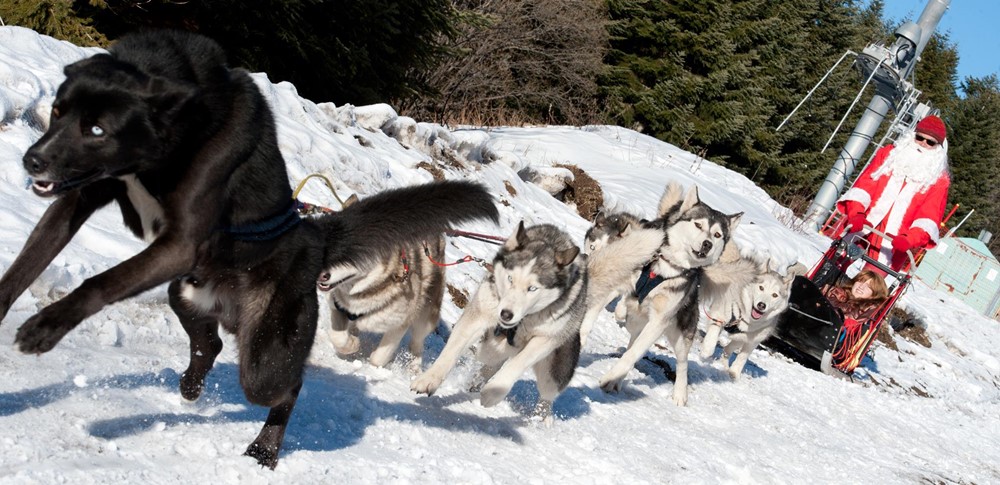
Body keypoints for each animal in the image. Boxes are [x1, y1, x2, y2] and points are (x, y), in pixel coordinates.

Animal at [318, 193, 448, 366]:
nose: (321, 274)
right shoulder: (337, 307)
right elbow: (338, 337)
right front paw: (352, 344)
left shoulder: (400, 323)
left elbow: (378, 358)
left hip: (427, 315)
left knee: (417, 344)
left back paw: (414, 367)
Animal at [412, 221, 588, 422]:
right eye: (510, 279)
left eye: (532, 288)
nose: (505, 314)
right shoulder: (479, 316)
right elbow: (451, 351)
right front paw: (429, 379)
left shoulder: (545, 339)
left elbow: (518, 363)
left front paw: (493, 393)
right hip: (491, 347)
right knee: (491, 361)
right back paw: (476, 381)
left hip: (554, 368)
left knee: (547, 394)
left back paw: (541, 418)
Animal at [596, 182, 740, 404]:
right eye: (698, 225)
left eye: (717, 235)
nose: (707, 244)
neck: (664, 267)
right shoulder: (618, 281)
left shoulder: (659, 321)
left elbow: (633, 355)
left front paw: (610, 377)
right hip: (637, 325)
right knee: (633, 341)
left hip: (679, 336)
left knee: (679, 363)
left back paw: (679, 394)